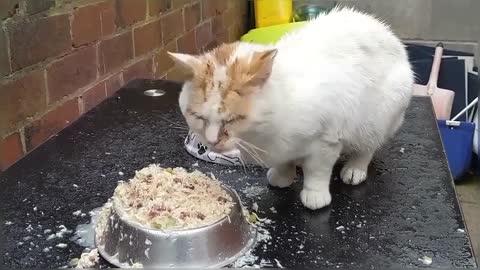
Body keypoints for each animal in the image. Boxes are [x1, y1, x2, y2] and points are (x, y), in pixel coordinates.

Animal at [168, 5, 412, 209]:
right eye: (198, 116)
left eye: (234, 119)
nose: (211, 141)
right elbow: (284, 162)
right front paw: (282, 176)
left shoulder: (327, 139)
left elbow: (318, 170)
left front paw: (315, 195)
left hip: (379, 117)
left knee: (367, 148)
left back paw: (354, 169)